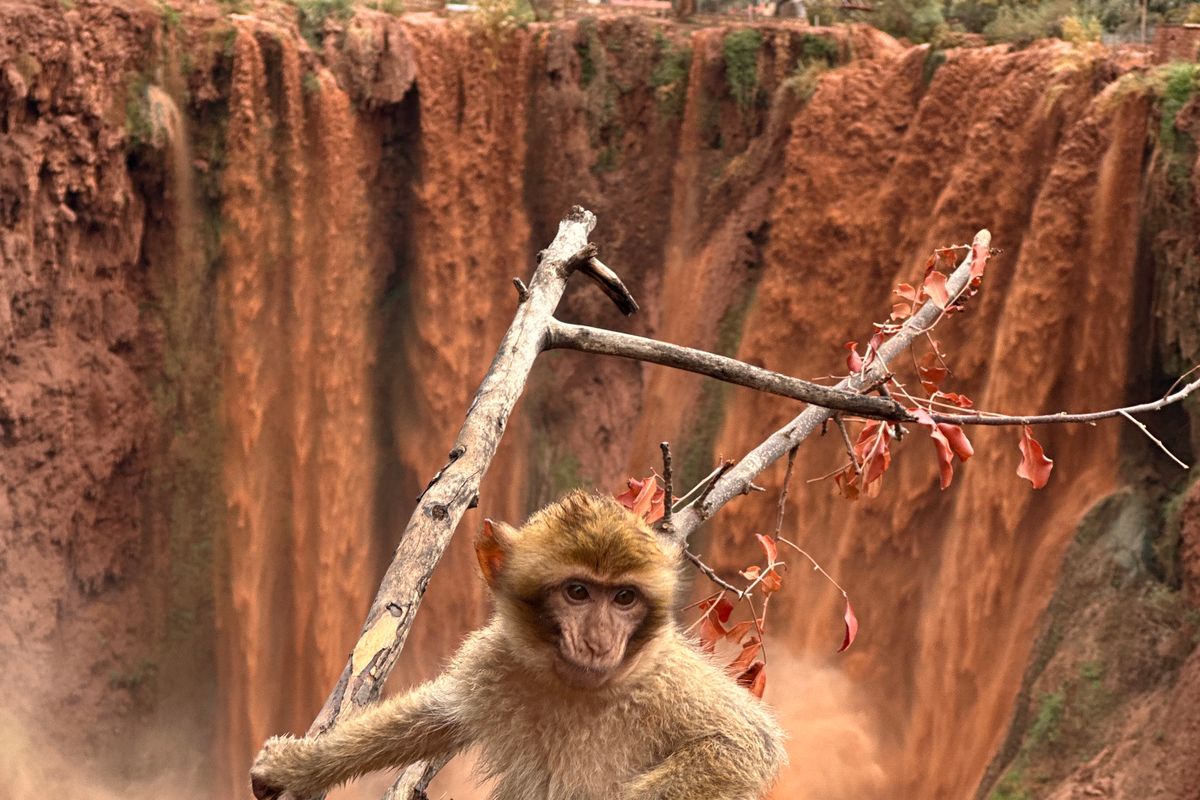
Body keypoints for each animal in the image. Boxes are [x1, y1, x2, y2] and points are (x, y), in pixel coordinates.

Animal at [250, 490, 786, 800]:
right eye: (577, 592)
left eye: (624, 598)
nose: (598, 642)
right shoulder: (494, 659)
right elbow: (439, 714)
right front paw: (301, 767)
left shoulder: (664, 676)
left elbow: (744, 745)